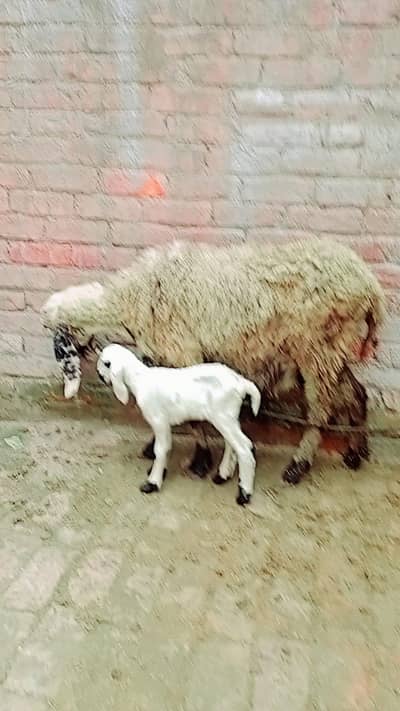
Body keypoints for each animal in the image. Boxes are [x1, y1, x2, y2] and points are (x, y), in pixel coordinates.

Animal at [41, 237, 386, 485]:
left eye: (58, 343)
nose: (68, 390)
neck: (131, 298)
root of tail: (370, 287)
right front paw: (155, 446)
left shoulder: (183, 352)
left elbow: (192, 416)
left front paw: (199, 461)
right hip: (333, 350)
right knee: (355, 393)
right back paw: (357, 452)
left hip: (318, 350)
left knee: (321, 408)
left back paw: (298, 465)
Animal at [97, 343, 261, 505]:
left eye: (105, 363)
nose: (99, 375)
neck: (140, 379)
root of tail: (241, 383)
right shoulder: (164, 424)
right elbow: (166, 447)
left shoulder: (159, 420)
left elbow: (160, 449)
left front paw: (152, 483)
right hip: (227, 417)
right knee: (231, 444)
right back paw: (223, 475)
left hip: (223, 416)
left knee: (244, 447)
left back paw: (244, 493)